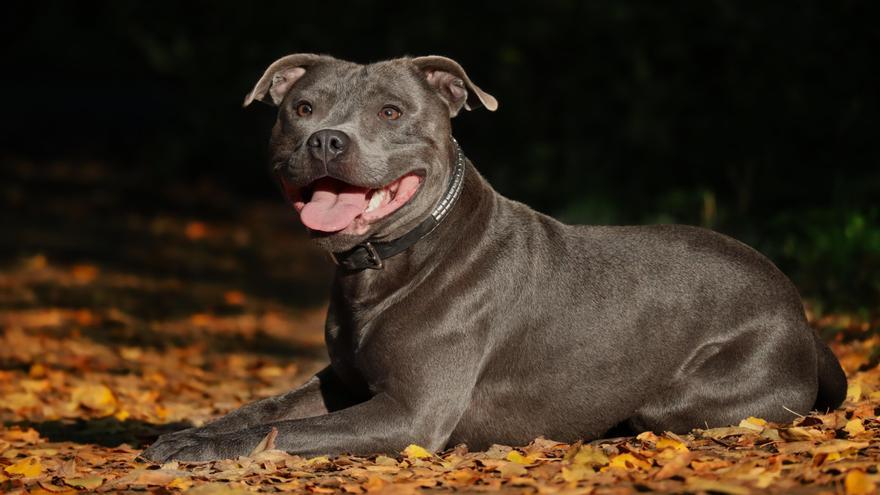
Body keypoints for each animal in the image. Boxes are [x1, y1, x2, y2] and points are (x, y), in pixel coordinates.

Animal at [141, 52, 848, 464]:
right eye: (300, 108)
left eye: (391, 112)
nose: (325, 140)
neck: (391, 260)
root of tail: (800, 313)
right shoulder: (342, 382)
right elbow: (264, 412)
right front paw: (189, 434)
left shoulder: (410, 413)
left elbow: (283, 434)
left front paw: (198, 449)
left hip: (690, 394)